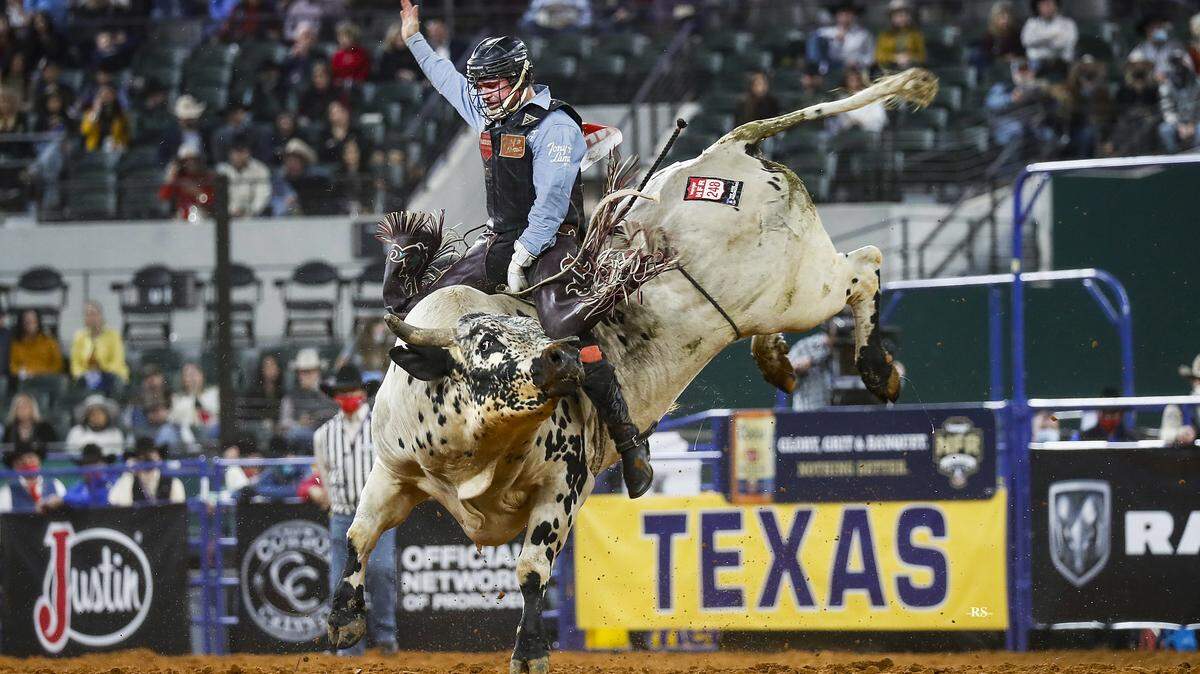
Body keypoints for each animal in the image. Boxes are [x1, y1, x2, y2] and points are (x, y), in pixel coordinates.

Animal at [328, 68, 937, 673]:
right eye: (485, 342)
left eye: (536, 334)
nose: (562, 356)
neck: (472, 450)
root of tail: (729, 150)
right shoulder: (392, 472)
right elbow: (358, 536)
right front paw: (341, 619)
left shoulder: (564, 485)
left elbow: (532, 569)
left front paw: (530, 649)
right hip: (783, 299)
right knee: (821, 296)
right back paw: (778, 362)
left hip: (803, 288)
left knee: (867, 266)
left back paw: (876, 369)